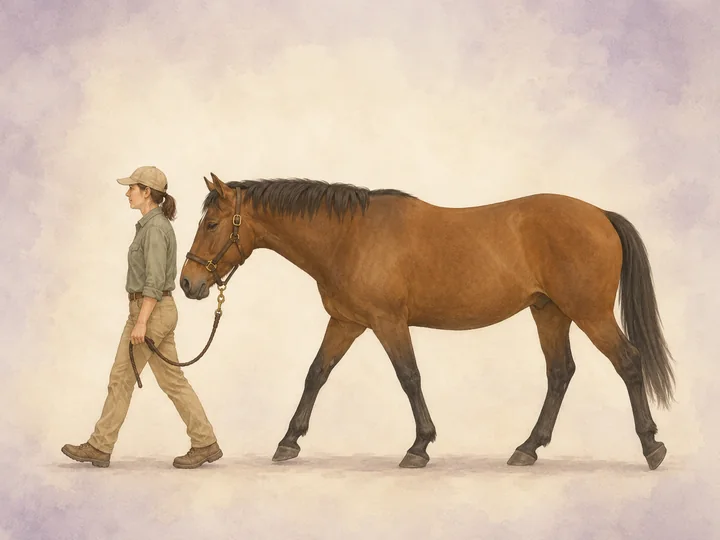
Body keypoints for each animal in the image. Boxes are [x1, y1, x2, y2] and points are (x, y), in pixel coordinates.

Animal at [179, 172, 675, 470]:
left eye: (212, 223)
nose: (188, 282)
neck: (349, 237)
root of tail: (600, 216)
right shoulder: (346, 322)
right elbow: (316, 374)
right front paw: (289, 441)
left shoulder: (388, 323)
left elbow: (409, 377)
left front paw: (419, 446)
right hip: (549, 312)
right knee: (560, 373)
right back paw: (527, 448)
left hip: (589, 313)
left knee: (628, 363)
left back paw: (652, 446)